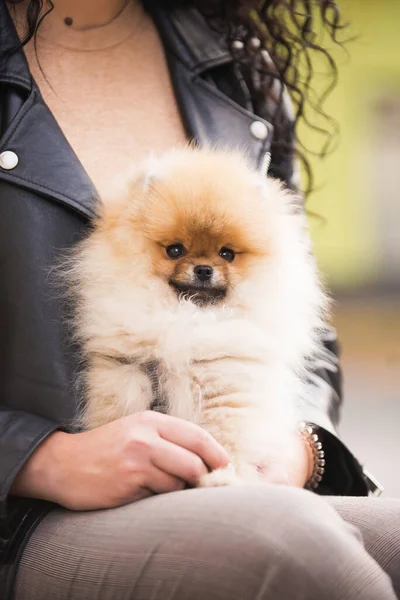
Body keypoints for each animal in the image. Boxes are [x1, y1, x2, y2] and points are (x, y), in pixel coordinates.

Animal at [68, 145, 324, 488]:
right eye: (175, 250)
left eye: (227, 254)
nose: (203, 269)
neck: (188, 315)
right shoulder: (125, 369)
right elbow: (120, 413)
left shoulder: (225, 381)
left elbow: (224, 439)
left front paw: (223, 477)